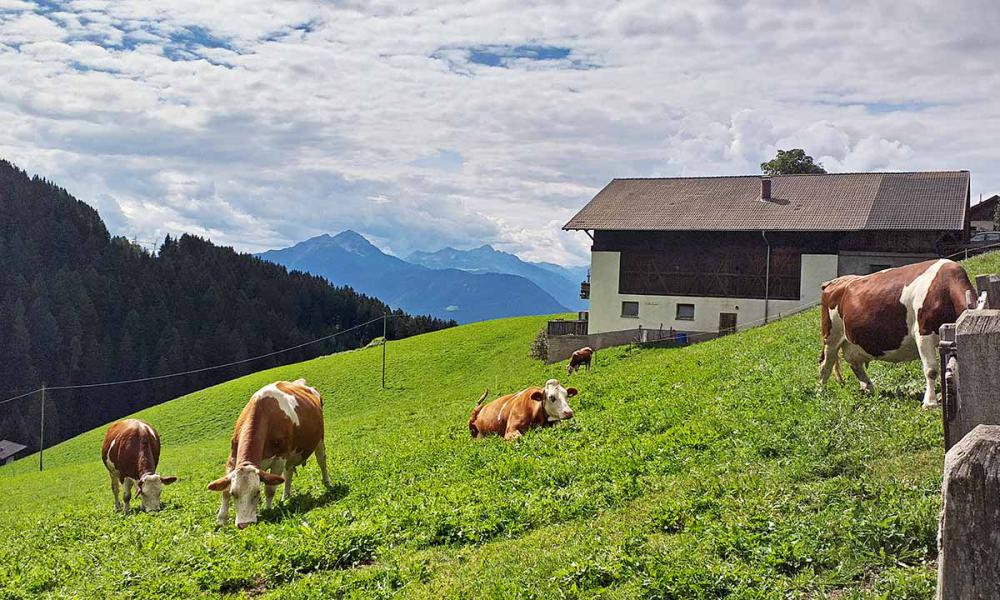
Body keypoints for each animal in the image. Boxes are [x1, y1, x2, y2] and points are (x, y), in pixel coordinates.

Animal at [207, 378, 332, 528]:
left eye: (257, 492)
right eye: (234, 493)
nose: (244, 524)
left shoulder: (279, 459)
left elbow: (270, 489)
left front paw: (268, 510)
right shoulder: (232, 459)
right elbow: (224, 491)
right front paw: (221, 520)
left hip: (319, 440)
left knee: (321, 462)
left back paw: (327, 482)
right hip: (291, 454)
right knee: (289, 473)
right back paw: (286, 496)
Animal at [820, 258, 976, 408]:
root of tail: (835, 281)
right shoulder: (923, 332)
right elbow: (931, 370)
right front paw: (930, 402)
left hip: (851, 340)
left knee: (854, 362)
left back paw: (869, 388)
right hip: (831, 336)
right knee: (825, 363)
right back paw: (821, 392)